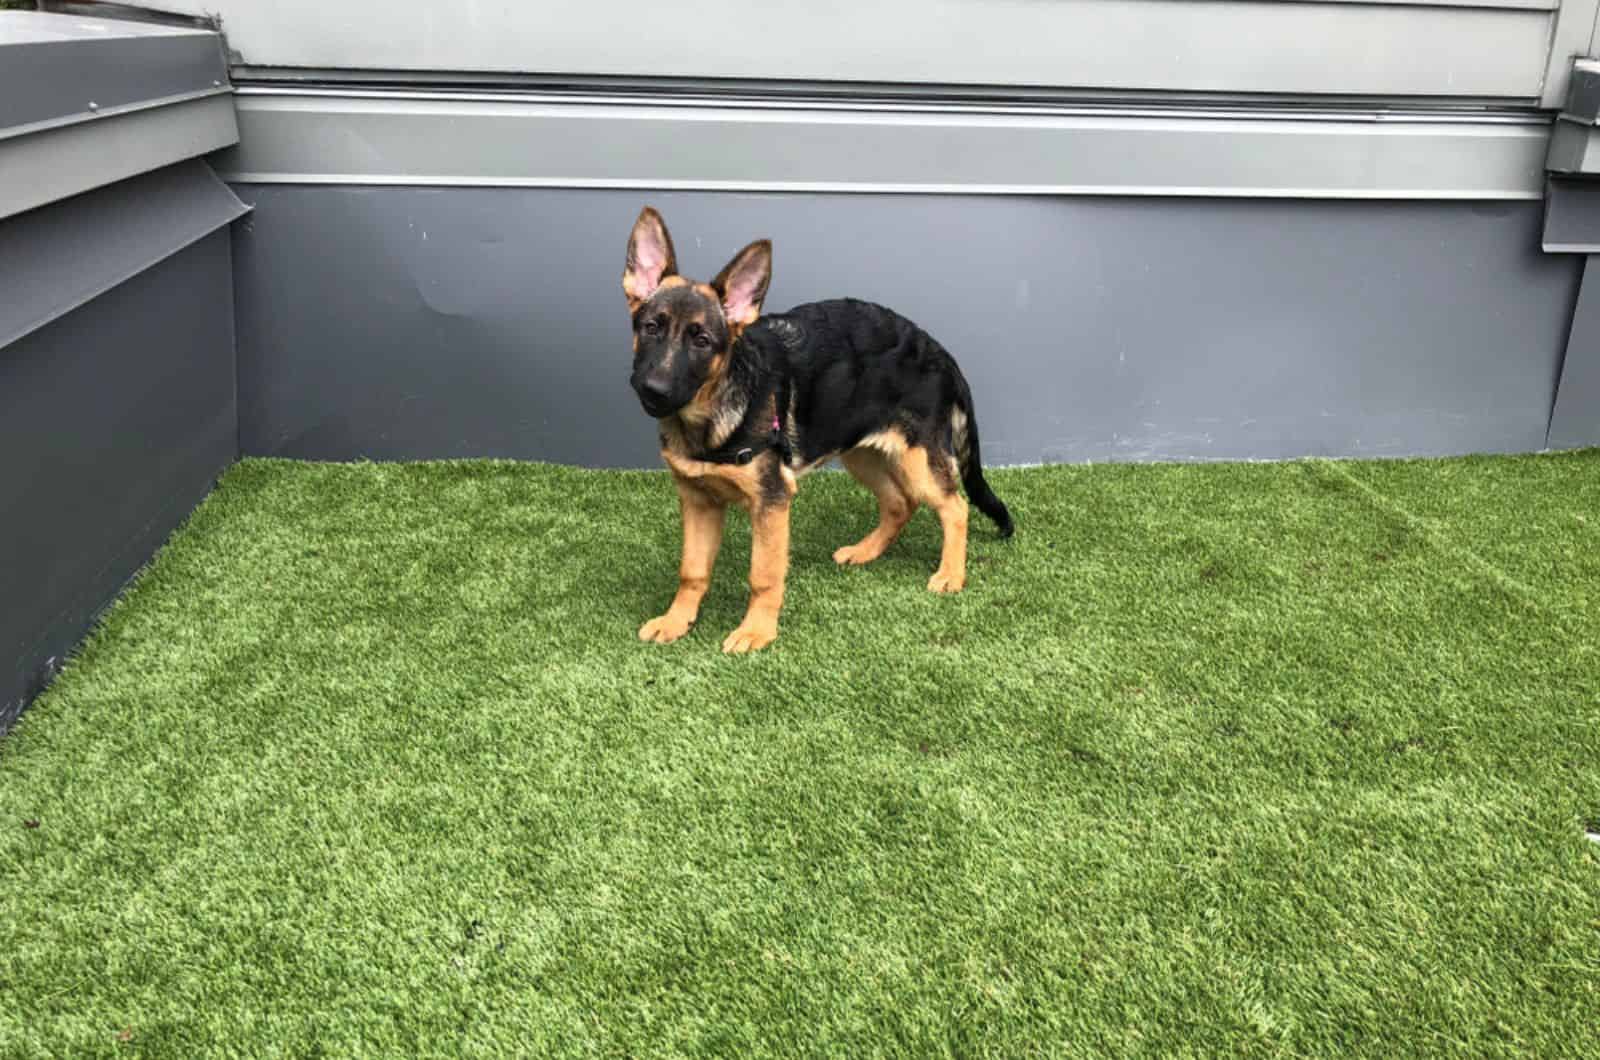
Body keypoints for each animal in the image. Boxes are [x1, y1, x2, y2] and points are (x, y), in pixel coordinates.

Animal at [624, 206, 1011, 653]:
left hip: (918, 461)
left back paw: (951, 574)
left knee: (955, 507)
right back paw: (866, 551)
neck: (710, 414)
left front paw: (757, 631)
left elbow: (763, 575)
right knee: (900, 503)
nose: (653, 390)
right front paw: (677, 621)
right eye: (651, 327)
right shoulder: (698, 502)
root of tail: (939, 351)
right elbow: (692, 570)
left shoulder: (772, 502)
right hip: (862, 453)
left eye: (701, 341)